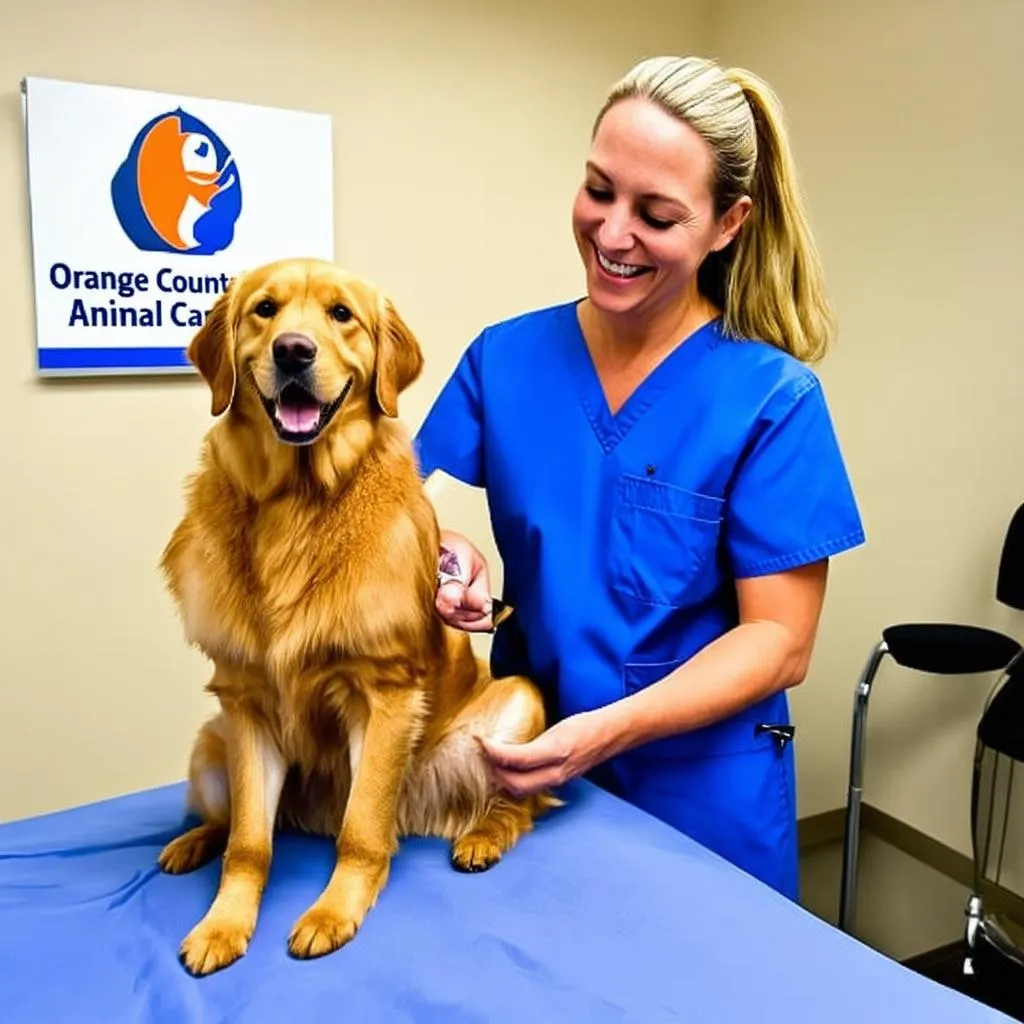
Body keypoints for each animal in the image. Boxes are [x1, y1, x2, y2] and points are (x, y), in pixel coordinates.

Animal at [158, 258, 557, 974]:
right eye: (265, 310)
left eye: (340, 314)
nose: (293, 350)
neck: (296, 502)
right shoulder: (245, 705)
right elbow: (250, 844)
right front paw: (223, 922)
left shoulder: (384, 696)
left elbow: (363, 829)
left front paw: (333, 912)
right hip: (210, 742)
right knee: (230, 822)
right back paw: (193, 841)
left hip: (517, 707)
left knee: (521, 800)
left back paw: (483, 836)